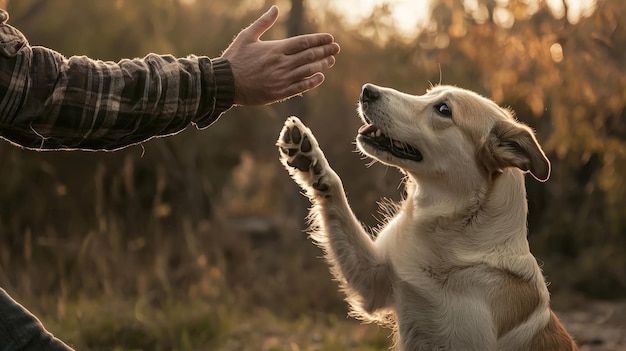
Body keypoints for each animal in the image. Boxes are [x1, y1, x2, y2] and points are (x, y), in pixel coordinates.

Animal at [276, 84, 576, 350]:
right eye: (427, 93)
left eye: (443, 109)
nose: (366, 91)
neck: (454, 230)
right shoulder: (374, 281)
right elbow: (334, 192)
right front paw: (308, 158)